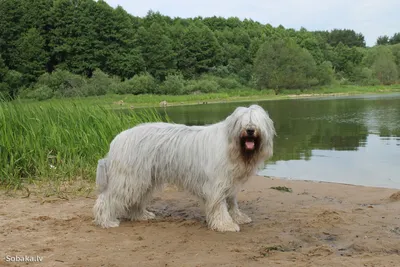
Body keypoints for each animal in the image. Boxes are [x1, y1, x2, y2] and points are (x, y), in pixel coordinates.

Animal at [93, 104, 276, 232]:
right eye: (242, 122)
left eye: (257, 122)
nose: (250, 130)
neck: (232, 146)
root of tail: (117, 140)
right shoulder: (217, 184)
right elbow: (219, 206)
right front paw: (225, 224)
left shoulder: (230, 182)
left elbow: (232, 202)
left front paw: (238, 217)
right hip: (129, 178)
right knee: (106, 198)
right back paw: (106, 220)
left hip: (144, 179)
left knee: (135, 200)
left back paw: (141, 215)